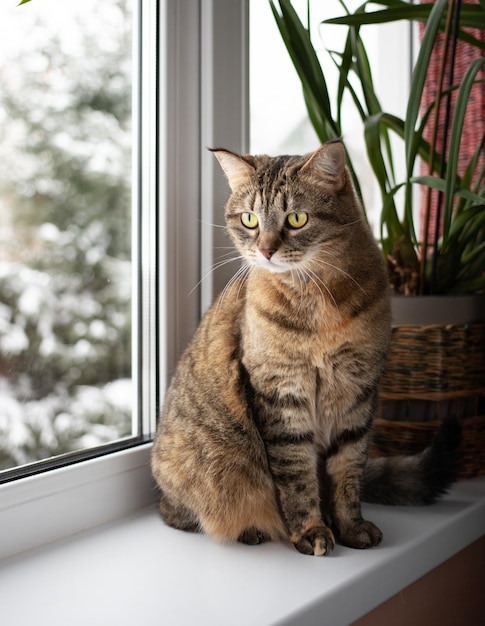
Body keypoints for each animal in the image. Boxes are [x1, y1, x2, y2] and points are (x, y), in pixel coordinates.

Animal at [150, 141, 458, 556]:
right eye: (249, 219)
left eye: (296, 219)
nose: (266, 250)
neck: (316, 303)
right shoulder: (281, 395)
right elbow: (296, 478)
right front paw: (312, 531)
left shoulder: (358, 395)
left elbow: (348, 474)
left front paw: (350, 526)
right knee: (178, 513)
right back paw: (249, 530)